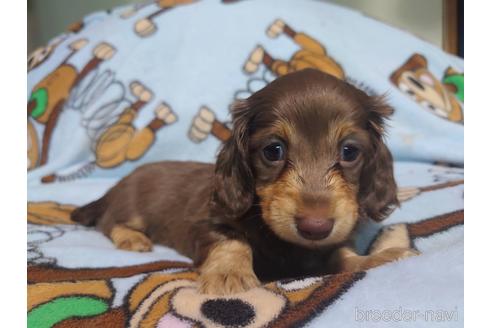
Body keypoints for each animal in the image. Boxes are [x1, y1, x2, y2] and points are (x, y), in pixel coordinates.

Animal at [72, 68, 404, 294]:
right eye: (273, 150)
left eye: (349, 151)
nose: (315, 227)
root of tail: (119, 183)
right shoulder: (206, 223)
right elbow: (232, 241)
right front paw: (229, 275)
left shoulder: (330, 246)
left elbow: (345, 256)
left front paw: (383, 257)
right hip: (131, 208)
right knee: (109, 223)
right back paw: (133, 238)